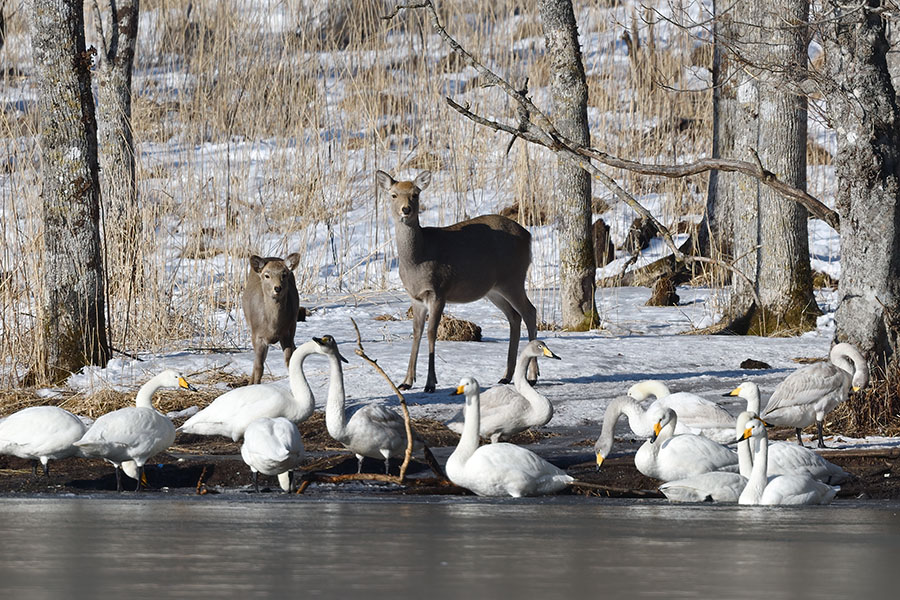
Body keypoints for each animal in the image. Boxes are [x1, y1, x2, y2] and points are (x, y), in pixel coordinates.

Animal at [243, 252, 302, 384]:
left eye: (284, 275)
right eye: (267, 275)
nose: (277, 288)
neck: (272, 326)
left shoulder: (287, 333)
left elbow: (288, 361)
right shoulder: (257, 335)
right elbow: (259, 367)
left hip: (293, 326)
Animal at [376, 169, 536, 394]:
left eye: (415, 194)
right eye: (393, 195)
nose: (405, 209)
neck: (418, 259)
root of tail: (528, 236)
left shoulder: (439, 291)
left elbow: (431, 333)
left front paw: (430, 383)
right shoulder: (415, 297)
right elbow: (416, 333)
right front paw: (406, 381)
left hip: (513, 277)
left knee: (530, 311)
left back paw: (532, 376)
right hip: (494, 289)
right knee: (514, 316)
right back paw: (506, 376)